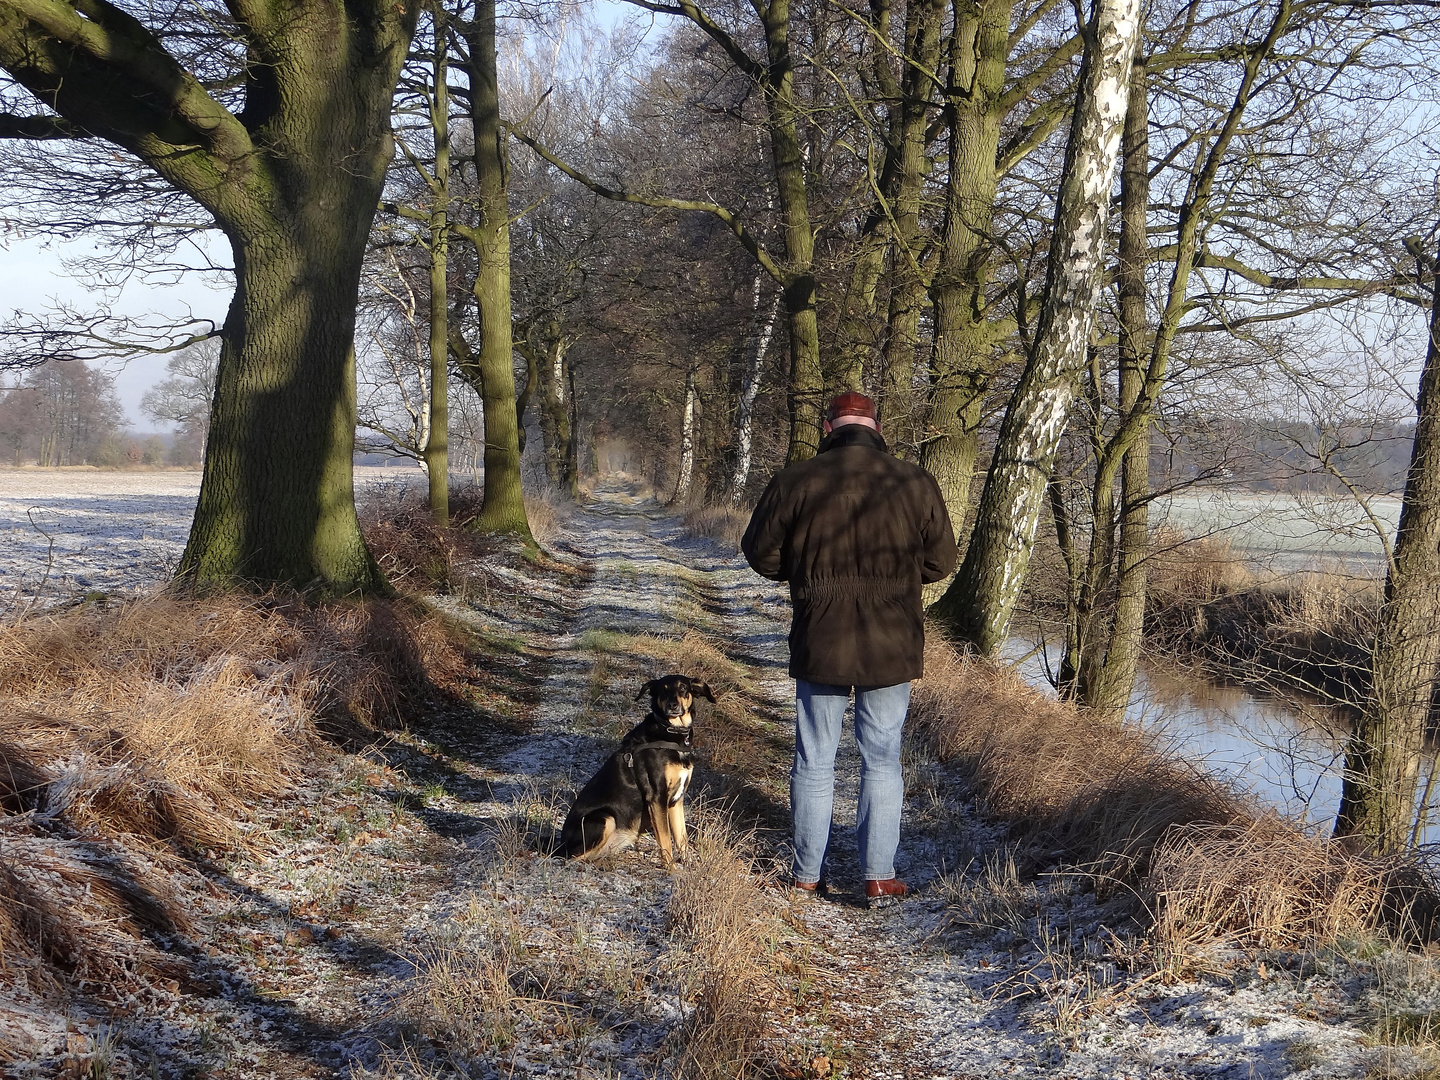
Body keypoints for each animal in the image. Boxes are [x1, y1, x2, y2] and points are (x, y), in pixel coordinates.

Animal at [561, 676, 720, 869]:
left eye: (683, 688)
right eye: (663, 689)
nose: (673, 705)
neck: (671, 733)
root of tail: (560, 843)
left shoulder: (676, 800)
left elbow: (682, 838)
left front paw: (688, 866)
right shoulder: (657, 797)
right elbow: (665, 840)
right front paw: (671, 869)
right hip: (604, 818)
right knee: (570, 857)